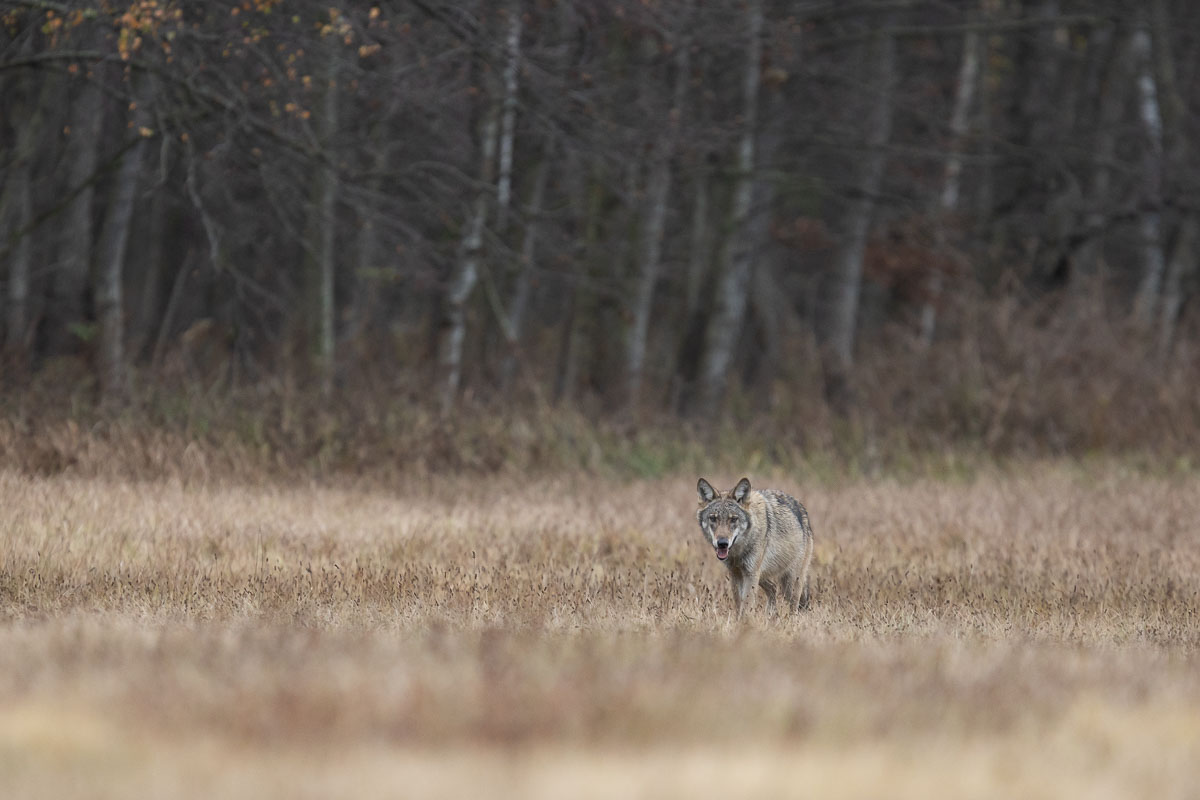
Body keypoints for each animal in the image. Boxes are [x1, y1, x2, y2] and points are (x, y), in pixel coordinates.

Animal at [696, 479, 816, 618]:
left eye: (733, 519)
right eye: (713, 518)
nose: (722, 543)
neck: (738, 552)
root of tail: (802, 509)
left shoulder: (750, 573)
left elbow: (747, 605)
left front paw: (745, 622)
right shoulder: (735, 574)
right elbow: (739, 603)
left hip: (789, 583)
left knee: (793, 605)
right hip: (763, 576)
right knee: (773, 588)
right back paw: (770, 616)